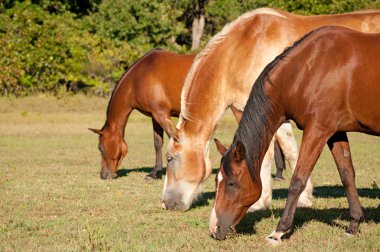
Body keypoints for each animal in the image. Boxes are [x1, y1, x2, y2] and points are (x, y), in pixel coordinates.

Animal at [209, 26, 380, 244]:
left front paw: (278, 231)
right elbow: (347, 175)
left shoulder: (317, 131)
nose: (215, 228)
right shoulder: (336, 132)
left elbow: (298, 180)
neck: (309, 69)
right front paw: (353, 225)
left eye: (232, 183)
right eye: (217, 181)